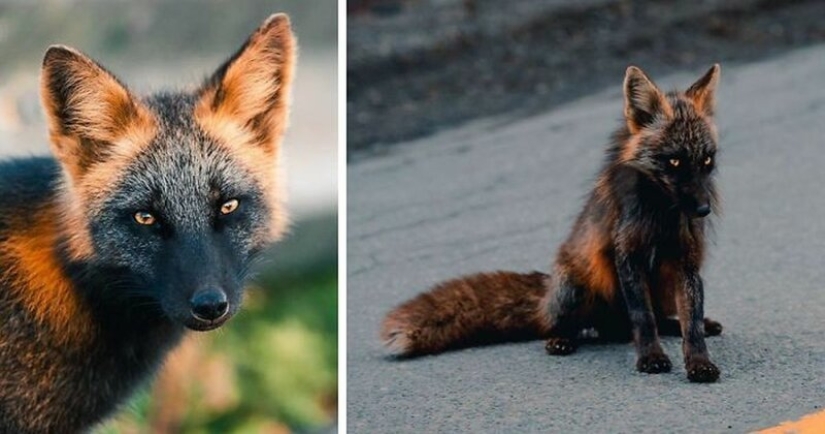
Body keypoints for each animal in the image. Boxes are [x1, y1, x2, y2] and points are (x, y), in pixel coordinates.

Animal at [380, 64, 720, 384]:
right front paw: (650, 358)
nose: (703, 210)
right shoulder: (628, 257)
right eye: (674, 161)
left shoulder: (686, 263)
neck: (660, 215)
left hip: (662, 286)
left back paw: (693, 325)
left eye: (706, 160)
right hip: (577, 287)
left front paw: (699, 363)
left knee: (658, 320)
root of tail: (547, 293)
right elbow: (643, 318)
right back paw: (560, 339)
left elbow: (691, 324)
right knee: (568, 327)